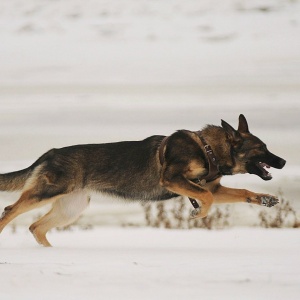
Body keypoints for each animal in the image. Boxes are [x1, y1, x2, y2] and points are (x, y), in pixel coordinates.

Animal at [0, 115, 286, 246]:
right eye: (261, 148)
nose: (283, 161)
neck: (207, 149)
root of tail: (50, 153)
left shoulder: (213, 188)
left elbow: (241, 191)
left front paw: (265, 199)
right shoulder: (172, 179)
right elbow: (205, 198)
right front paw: (199, 214)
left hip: (71, 207)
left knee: (36, 227)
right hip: (47, 193)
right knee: (10, 210)